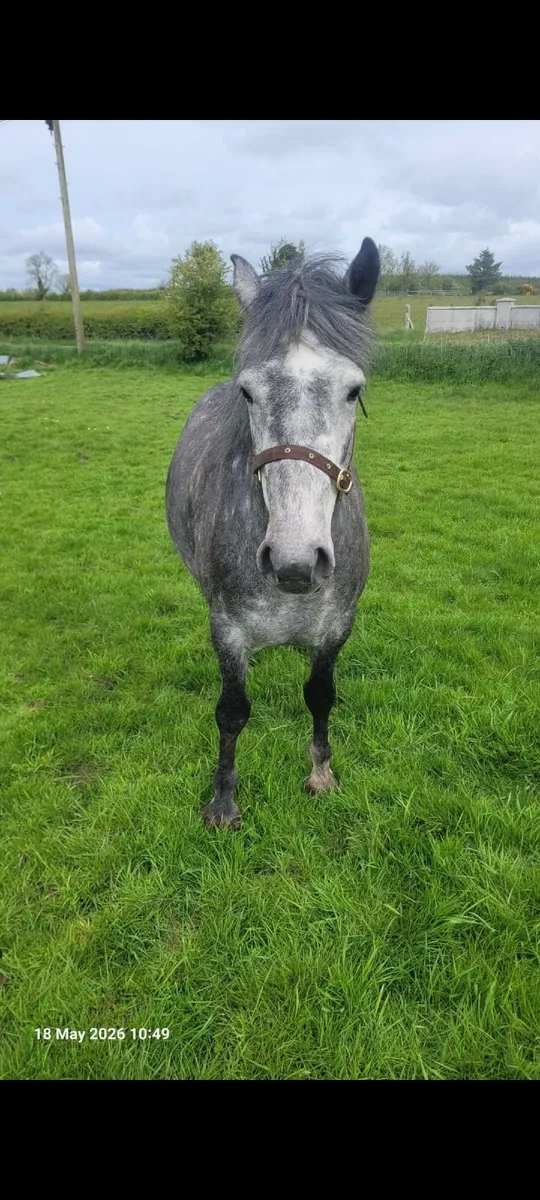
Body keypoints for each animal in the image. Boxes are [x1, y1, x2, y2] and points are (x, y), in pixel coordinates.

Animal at [166, 237, 380, 828]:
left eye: (354, 390)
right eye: (248, 392)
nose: (295, 560)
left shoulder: (336, 628)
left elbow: (321, 695)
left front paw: (321, 773)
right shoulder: (229, 631)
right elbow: (232, 712)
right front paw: (222, 801)